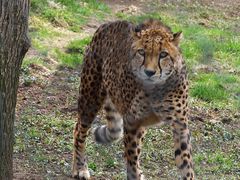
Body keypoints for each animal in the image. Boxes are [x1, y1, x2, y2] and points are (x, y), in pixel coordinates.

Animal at [72, 19, 194, 179]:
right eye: (142, 52)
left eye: (163, 54)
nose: (149, 72)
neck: (157, 87)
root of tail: (109, 23)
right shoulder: (133, 121)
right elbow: (131, 157)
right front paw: (135, 174)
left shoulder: (180, 124)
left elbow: (185, 162)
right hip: (90, 98)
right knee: (79, 130)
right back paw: (80, 168)